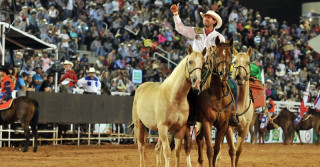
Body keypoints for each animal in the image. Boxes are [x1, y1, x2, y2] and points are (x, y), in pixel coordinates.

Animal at [195, 37, 235, 167]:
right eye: (216, 54)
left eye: (230, 55)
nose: (224, 73)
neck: (218, 96)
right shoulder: (207, 122)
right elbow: (210, 150)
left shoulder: (224, 124)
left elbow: (216, 149)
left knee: (199, 138)